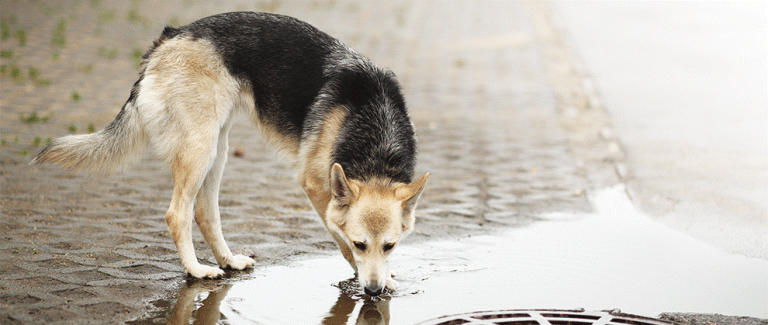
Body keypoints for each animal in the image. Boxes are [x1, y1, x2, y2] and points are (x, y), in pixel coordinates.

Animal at [31, 12, 426, 296]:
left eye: (390, 246)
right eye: (362, 243)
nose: (373, 293)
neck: (375, 137)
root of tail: (168, 38)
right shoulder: (317, 188)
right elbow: (341, 242)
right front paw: (367, 274)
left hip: (217, 150)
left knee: (205, 212)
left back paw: (228, 261)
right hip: (200, 148)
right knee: (178, 214)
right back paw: (196, 269)